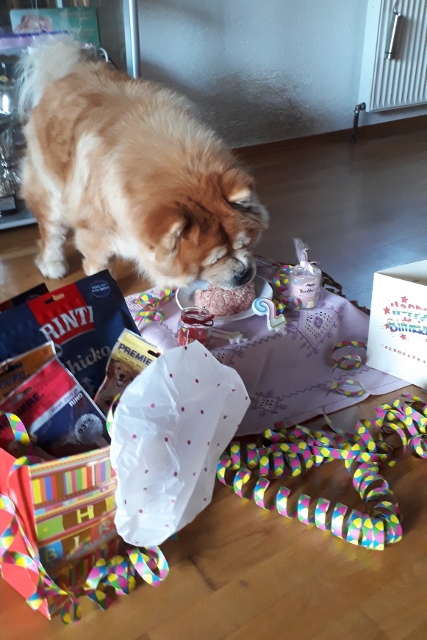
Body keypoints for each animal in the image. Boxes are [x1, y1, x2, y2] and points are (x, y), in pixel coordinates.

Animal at [17, 38, 268, 290]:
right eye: (212, 261)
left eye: (245, 243)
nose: (244, 274)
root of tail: (70, 71)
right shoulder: (95, 235)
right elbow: (102, 266)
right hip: (50, 192)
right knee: (51, 231)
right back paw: (52, 265)